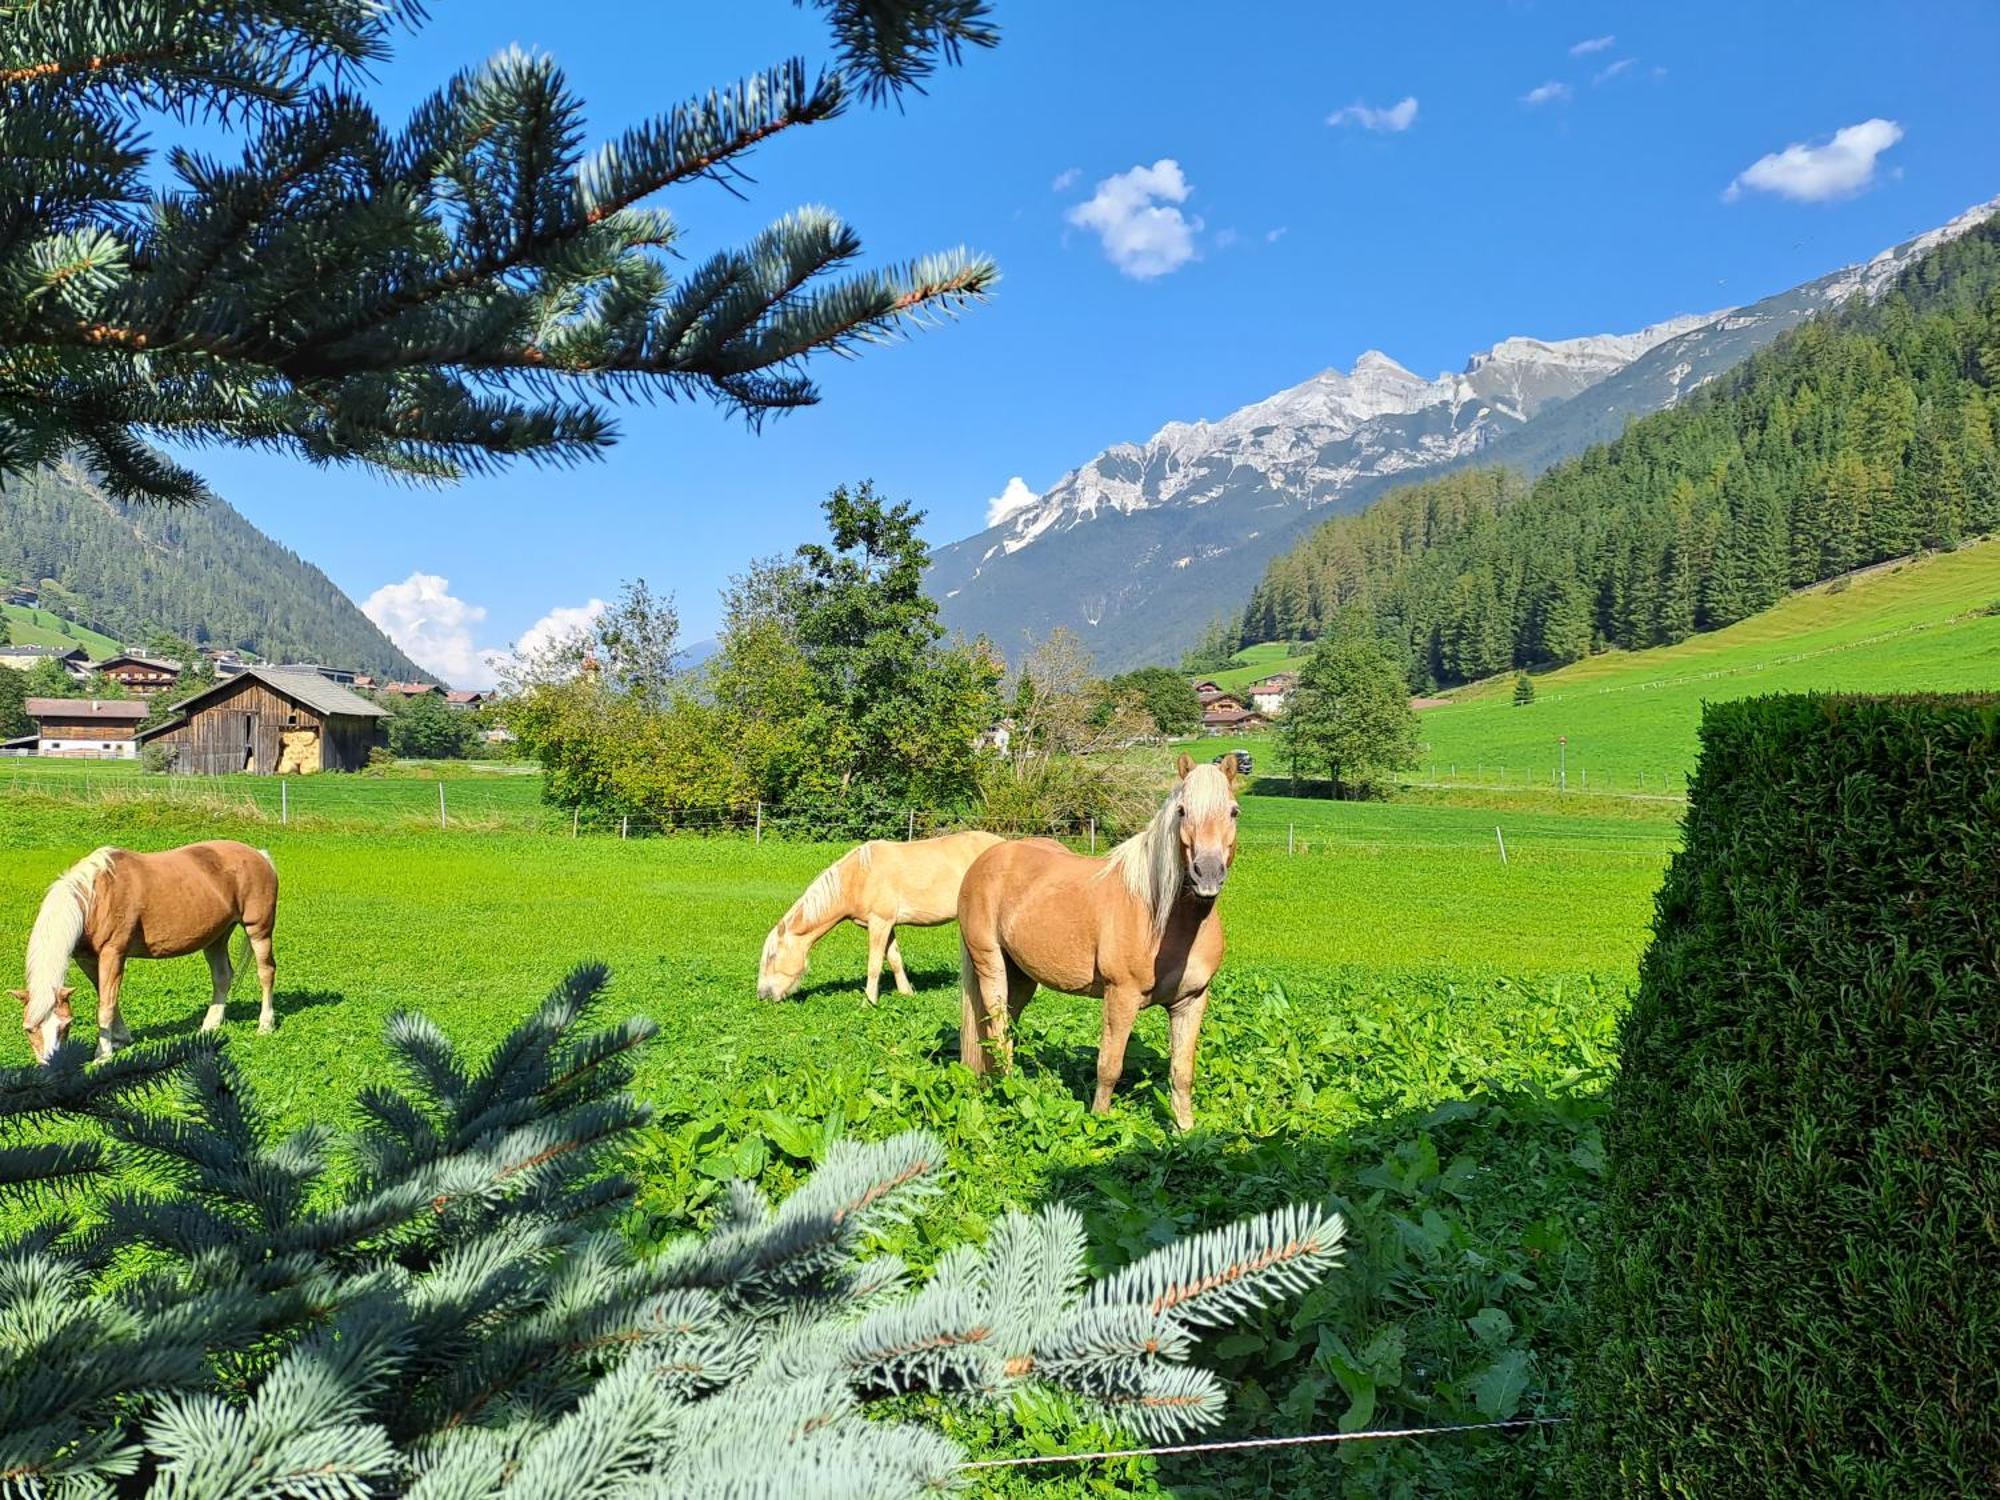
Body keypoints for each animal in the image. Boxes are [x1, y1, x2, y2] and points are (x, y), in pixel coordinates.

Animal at [12, 840, 278, 1064]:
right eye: (29, 1029)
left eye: (66, 1025)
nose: (52, 1067)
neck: (94, 898)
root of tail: (260, 856)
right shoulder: (87, 960)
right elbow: (108, 998)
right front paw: (121, 1039)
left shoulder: (113, 953)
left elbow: (105, 1006)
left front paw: (103, 1055)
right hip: (216, 937)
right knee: (222, 977)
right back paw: (209, 1026)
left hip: (258, 930)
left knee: (266, 973)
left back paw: (265, 1025)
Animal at [752, 836, 1000, 1012]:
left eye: (772, 957)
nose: (763, 995)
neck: (859, 877)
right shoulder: (887, 926)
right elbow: (895, 960)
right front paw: (907, 994)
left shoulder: (879, 923)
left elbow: (874, 965)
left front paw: (868, 1003)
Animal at [952, 756, 1232, 1136]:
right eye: (1182, 810)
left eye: (1233, 811)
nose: (1208, 874)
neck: (1164, 917)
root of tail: (987, 858)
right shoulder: (1121, 997)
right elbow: (1109, 1066)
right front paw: (1100, 1122)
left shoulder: (1191, 1001)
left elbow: (1182, 1072)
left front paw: (1184, 1131)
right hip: (989, 964)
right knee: (998, 1030)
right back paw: (1011, 1091)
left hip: (1021, 976)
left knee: (1003, 1026)